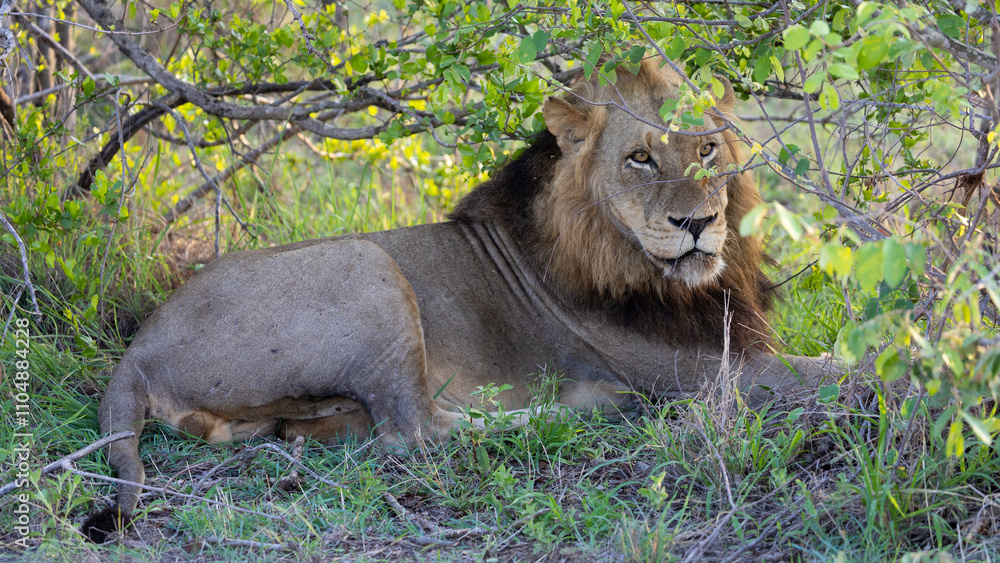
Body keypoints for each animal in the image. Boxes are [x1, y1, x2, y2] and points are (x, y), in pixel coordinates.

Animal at [82, 57, 839, 542]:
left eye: (708, 149)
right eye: (640, 158)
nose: (697, 223)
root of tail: (137, 351)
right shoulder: (701, 368)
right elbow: (835, 371)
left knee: (343, 429)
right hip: (368, 264)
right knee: (416, 430)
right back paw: (584, 406)